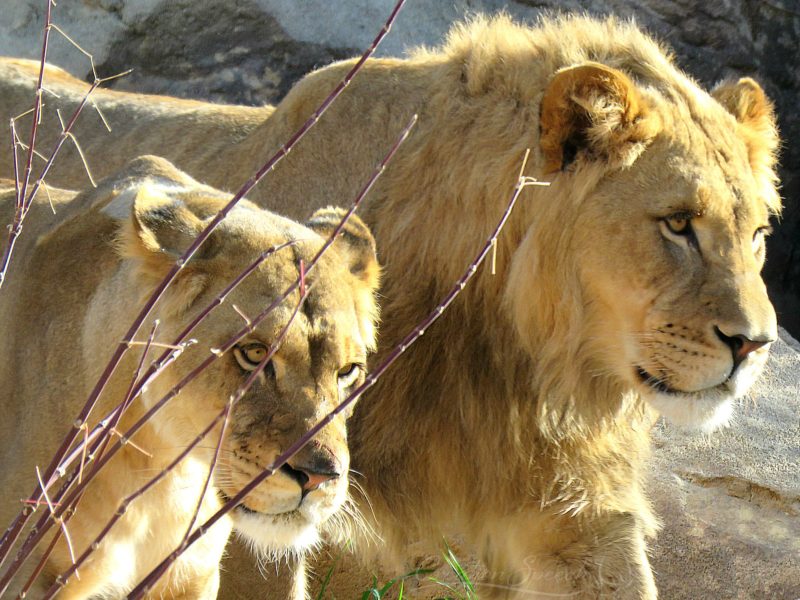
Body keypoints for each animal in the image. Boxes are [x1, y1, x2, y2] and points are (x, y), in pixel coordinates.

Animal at [0, 156, 380, 600]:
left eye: (347, 371)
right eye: (254, 354)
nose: (319, 478)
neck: (164, 474)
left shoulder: (191, 578)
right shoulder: (25, 574)